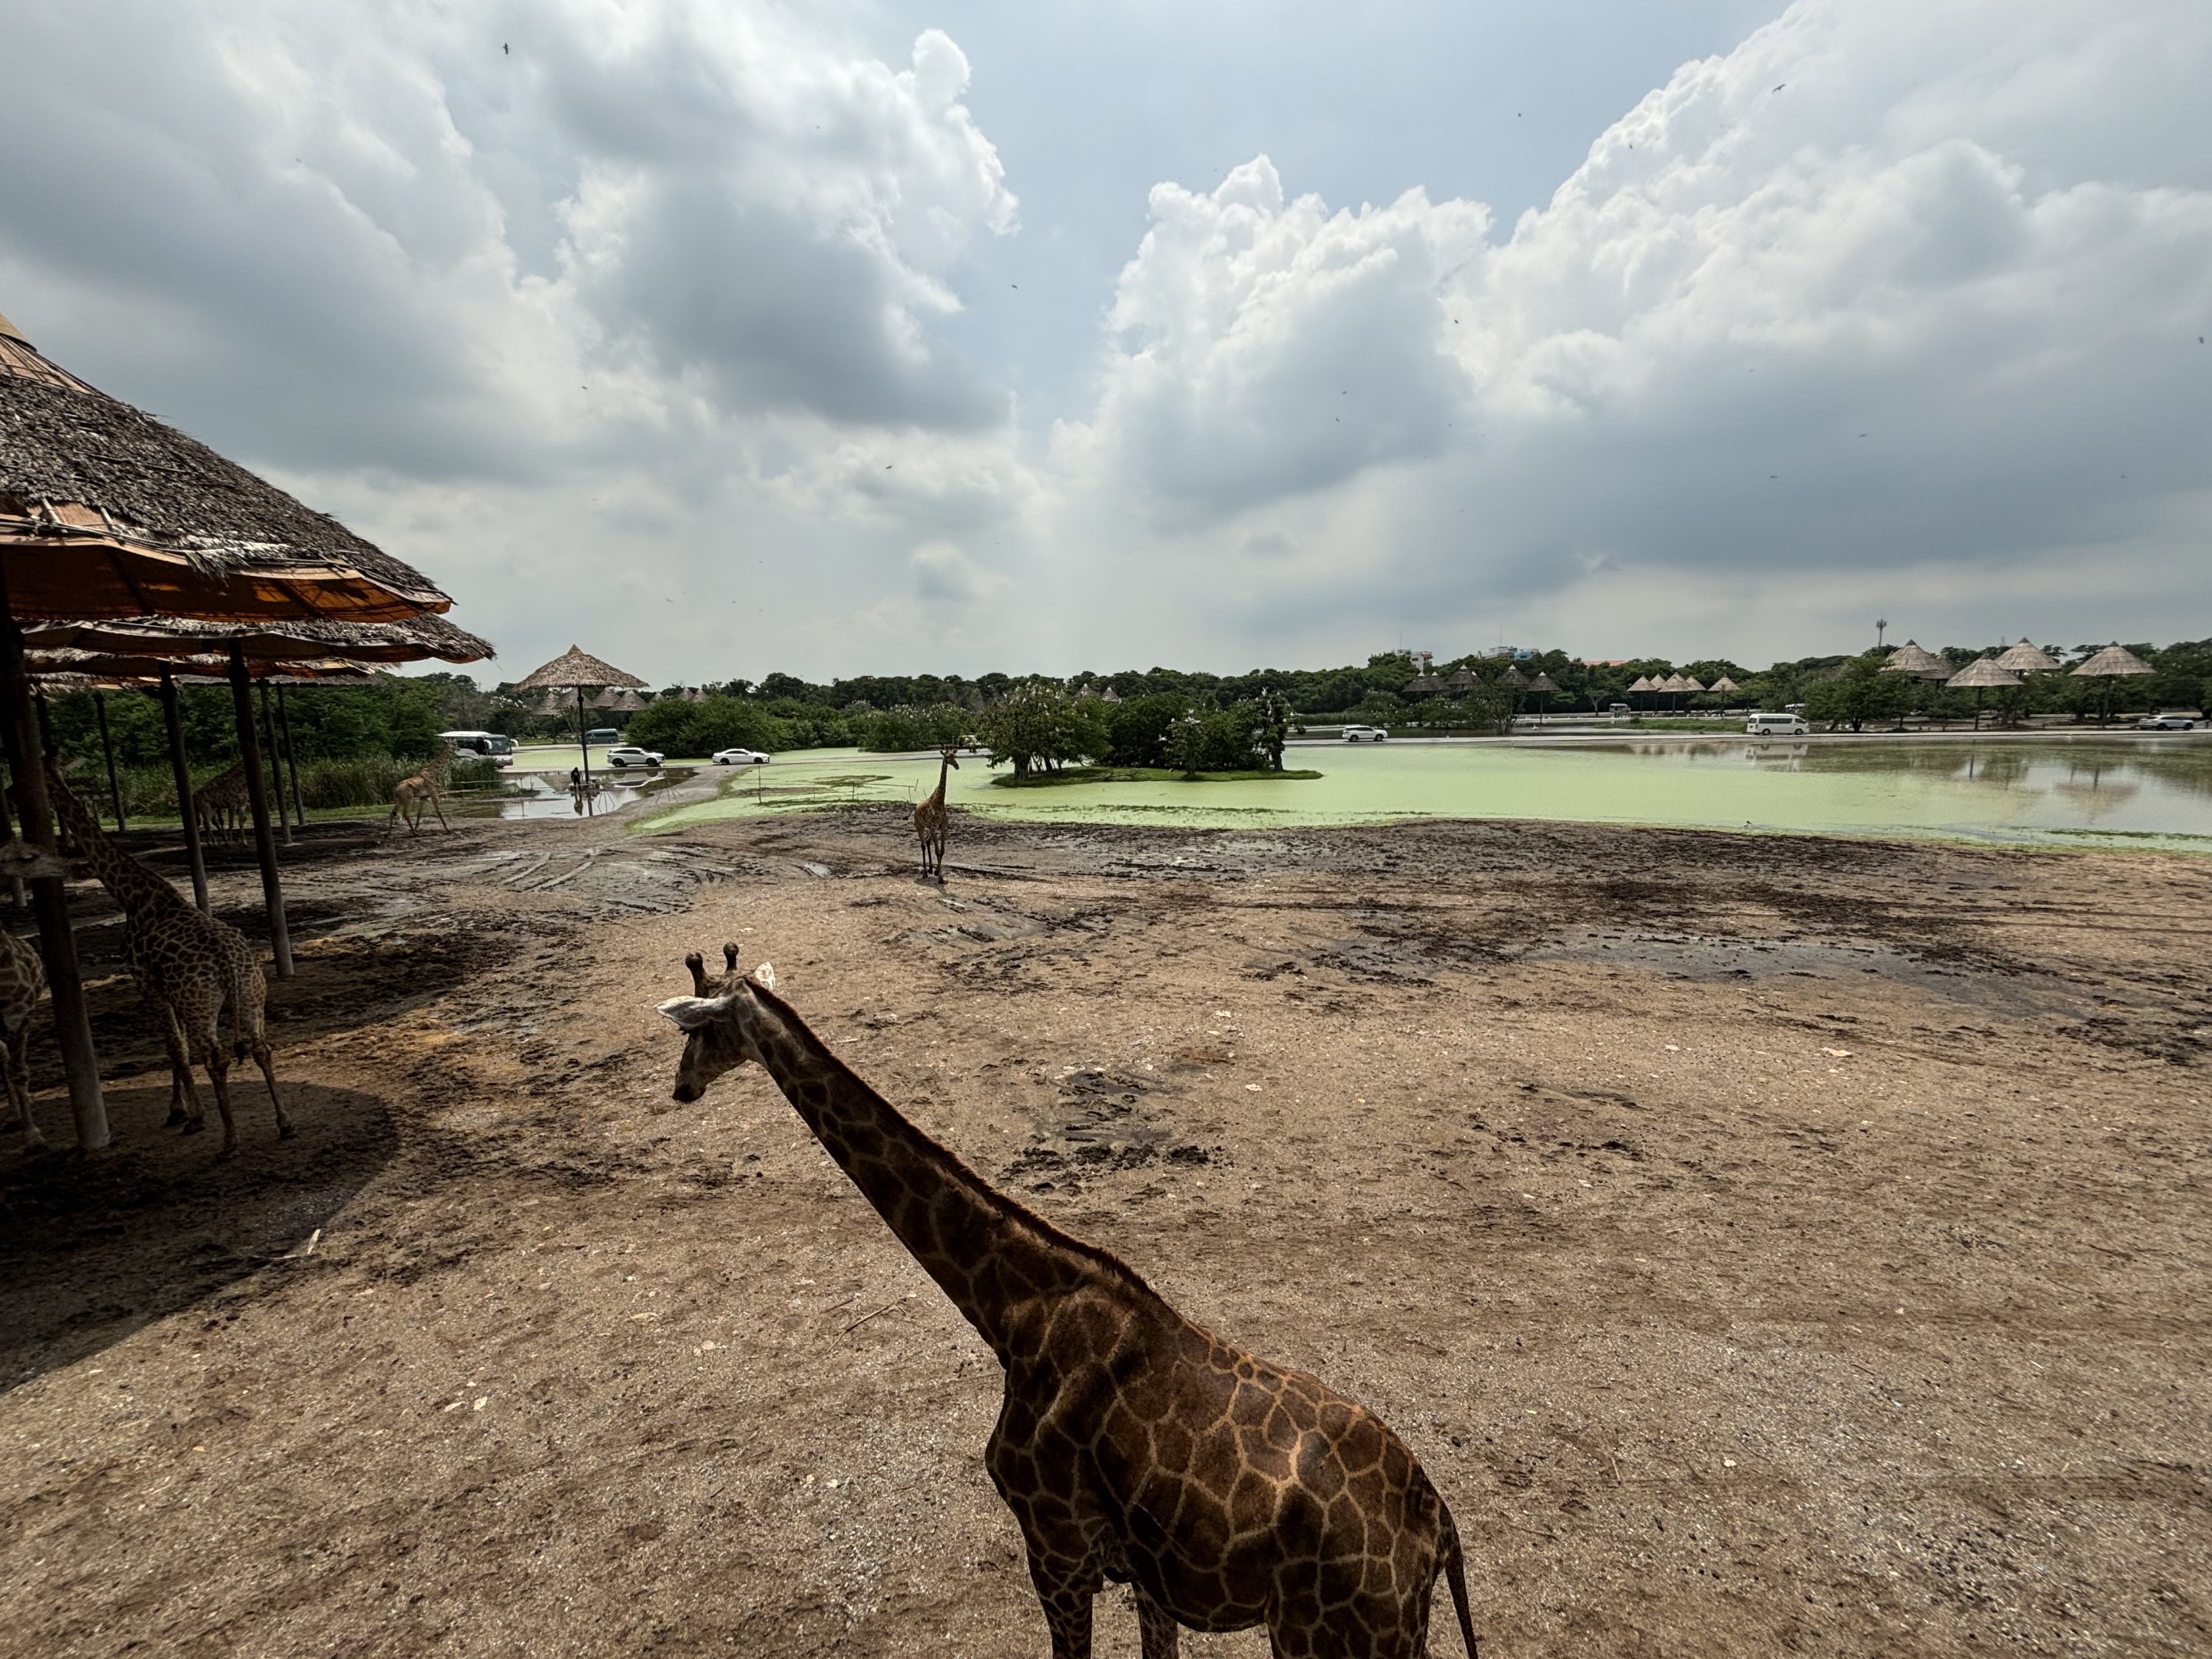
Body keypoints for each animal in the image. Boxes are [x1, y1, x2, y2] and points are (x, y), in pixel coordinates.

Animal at [45, 764, 290, 1157]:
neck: (134, 896)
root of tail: (230, 963)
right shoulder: (170, 990)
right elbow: (180, 1046)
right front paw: (181, 1109)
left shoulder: (146, 981)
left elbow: (174, 1045)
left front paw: (190, 1115)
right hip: (251, 995)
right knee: (260, 1047)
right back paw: (283, 1123)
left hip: (201, 1002)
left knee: (217, 1056)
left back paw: (229, 1140)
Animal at [659, 949, 1480, 1659]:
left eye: (697, 1030)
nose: (680, 1090)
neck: (1013, 1312)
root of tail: (1441, 1533)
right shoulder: (1149, 1575)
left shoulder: (1056, 1549)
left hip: (1327, 1637)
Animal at [913, 743, 959, 882]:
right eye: (947, 756)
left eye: (955, 755)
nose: (957, 766)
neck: (939, 802)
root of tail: (916, 807)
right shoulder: (934, 828)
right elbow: (937, 851)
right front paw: (940, 878)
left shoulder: (943, 828)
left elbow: (942, 851)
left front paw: (938, 871)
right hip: (920, 826)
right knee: (923, 844)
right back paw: (925, 872)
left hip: (929, 829)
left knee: (928, 842)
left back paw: (930, 869)